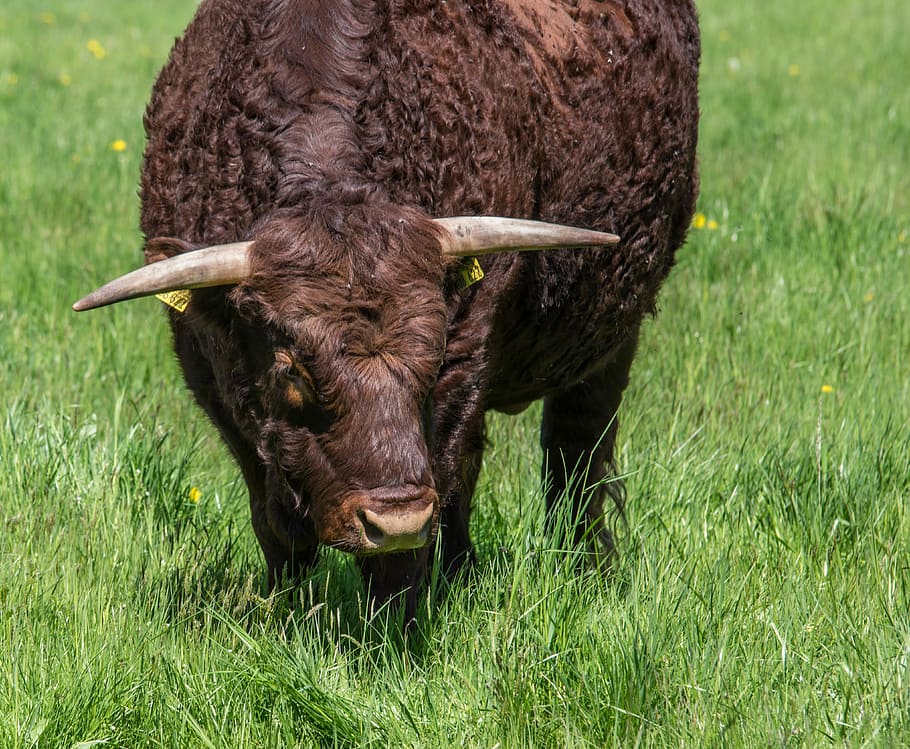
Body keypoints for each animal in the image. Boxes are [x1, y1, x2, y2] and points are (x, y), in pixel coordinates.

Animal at [75, 0, 700, 614]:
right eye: (292, 368)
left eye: (433, 351)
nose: (395, 518)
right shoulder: (213, 375)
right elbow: (277, 526)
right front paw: (287, 616)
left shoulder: (462, 367)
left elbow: (411, 542)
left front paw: (393, 629)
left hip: (613, 335)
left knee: (575, 460)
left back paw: (588, 569)